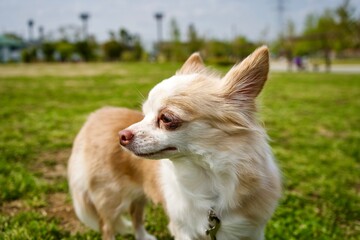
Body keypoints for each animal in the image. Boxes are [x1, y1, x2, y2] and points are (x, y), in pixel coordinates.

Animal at [67, 46, 282, 239]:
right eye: (144, 114)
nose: (121, 135)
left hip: (138, 193)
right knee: (108, 228)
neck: (209, 178)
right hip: (110, 198)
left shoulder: (252, 231)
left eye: (166, 118)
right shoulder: (183, 229)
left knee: (136, 213)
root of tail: (94, 117)